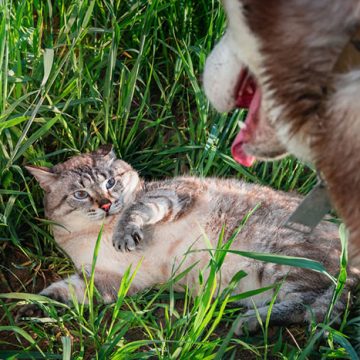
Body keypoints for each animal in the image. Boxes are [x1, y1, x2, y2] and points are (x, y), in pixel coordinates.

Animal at [23, 145, 358, 334]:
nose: (106, 204)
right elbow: (61, 292)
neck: (99, 233)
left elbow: (136, 209)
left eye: (111, 182)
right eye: (81, 194)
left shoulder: (174, 194)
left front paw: (126, 231)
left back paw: (247, 322)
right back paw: (252, 321)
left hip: (281, 258)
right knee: (320, 306)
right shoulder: (110, 279)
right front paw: (31, 308)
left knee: (323, 304)